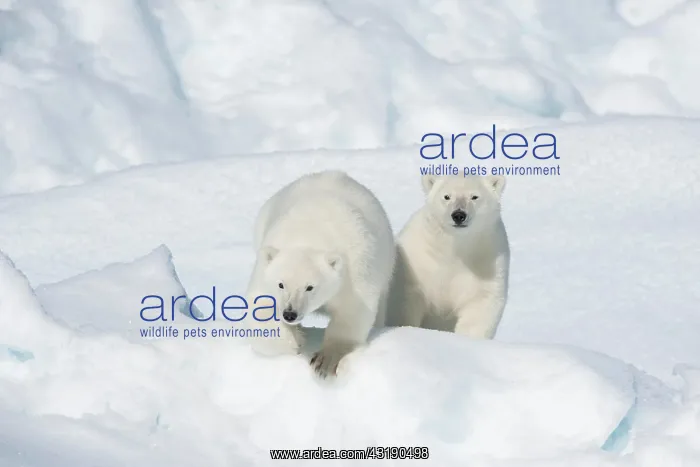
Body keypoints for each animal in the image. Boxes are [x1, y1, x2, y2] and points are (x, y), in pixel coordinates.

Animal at [245, 170, 396, 378]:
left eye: (310, 287)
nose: (290, 314)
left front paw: (325, 361)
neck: (309, 236)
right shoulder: (265, 267)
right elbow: (260, 307)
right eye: (281, 284)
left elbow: (352, 311)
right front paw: (296, 341)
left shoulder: (355, 270)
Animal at [386, 174, 510, 339]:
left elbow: (479, 307)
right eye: (447, 196)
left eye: (474, 196)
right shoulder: (418, 262)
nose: (459, 215)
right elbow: (405, 300)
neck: (453, 249)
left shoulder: (486, 261)